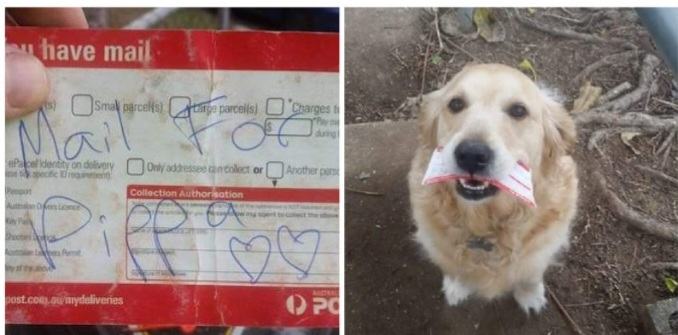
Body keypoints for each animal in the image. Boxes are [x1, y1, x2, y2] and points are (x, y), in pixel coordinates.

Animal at [410, 64, 580, 314]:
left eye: (518, 110)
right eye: (456, 104)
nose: (471, 154)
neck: (484, 226)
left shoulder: (541, 249)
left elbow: (530, 275)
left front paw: (530, 295)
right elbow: (453, 267)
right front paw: (457, 286)